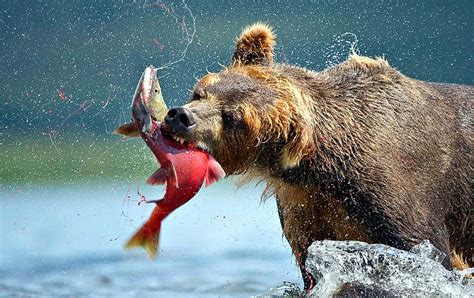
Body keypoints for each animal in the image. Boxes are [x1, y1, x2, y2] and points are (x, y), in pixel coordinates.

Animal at [162, 23, 470, 292]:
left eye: (234, 118)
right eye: (200, 92)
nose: (180, 116)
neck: (322, 170)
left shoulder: (398, 190)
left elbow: (424, 252)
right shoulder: (306, 204)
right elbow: (312, 260)